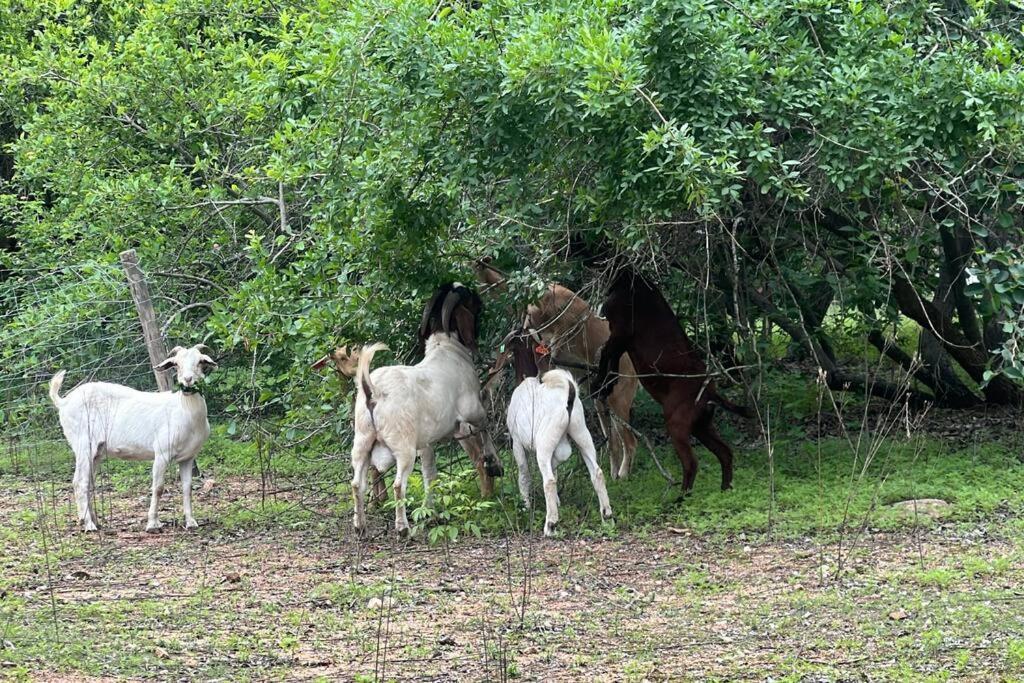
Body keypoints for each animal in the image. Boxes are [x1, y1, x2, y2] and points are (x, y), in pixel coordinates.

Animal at [48, 344, 217, 532]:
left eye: (200, 362)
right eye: (176, 364)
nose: (187, 380)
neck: (184, 410)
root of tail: (64, 402)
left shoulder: (188, 457)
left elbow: (187, 488)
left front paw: (191, 522)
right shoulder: (162, 453)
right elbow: (158, 488)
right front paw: (152, 524)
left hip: (96, 452)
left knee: (89, 483)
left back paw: (93, 521)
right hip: (83, 445)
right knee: (79, 482)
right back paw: (89, 525)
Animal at [348, 282, 499, 532]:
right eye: (469, 300)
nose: (482, 301)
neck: (447, 348)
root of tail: (373, 391)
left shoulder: (426, 443)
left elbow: (430, 474)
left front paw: (431, 512)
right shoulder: (471, 410)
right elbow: (485, 424)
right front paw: (494, 463)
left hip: (362, 443)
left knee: (356, 483)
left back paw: (360, 526)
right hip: (403, 447)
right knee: (398, 485)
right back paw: (402, 528)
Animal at [473, 262, 638, 481]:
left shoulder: (570, 323)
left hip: (617, 401)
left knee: (631, 442)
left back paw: (624, 473)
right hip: (601, 403)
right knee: (614, 444)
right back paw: (614, 475)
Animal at [491, 327, 610, 536]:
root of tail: (568, 394)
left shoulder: (517, 442)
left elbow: (524, 472)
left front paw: (525, 504)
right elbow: (558, 463)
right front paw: (558, 502)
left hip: (544, 442)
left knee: (549, 480)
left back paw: (550, 524)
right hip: (581, 432)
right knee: (596, 472)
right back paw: (607, 516)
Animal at [593, 268, 753, 497]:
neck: (628, 279)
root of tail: (710, 393)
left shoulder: (619, 333)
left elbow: (605, 360)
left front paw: (597, 385)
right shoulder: (620, 340)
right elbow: (611, 365)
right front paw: (604, 387)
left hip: (677, 424)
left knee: (691, 463)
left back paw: (681, 498)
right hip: (701, 426)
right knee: (725, 453)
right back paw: (725, 489)